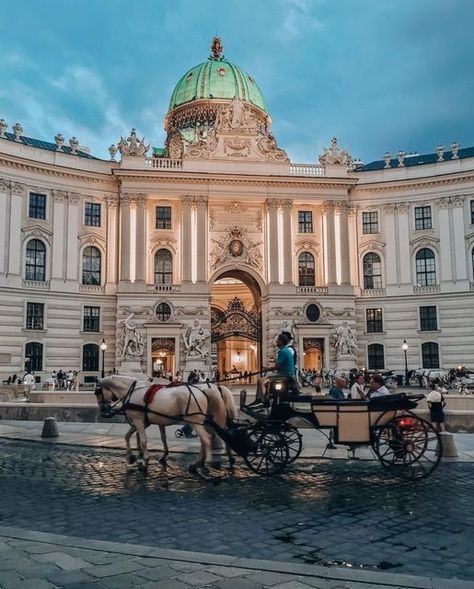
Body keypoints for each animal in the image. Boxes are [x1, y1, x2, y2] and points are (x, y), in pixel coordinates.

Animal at [95, 376, 236, 474]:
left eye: (97, 392)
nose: (103, 410)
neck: (132, 391)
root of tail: (205, 390)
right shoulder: (147, 422)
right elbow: (130, 436)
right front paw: (132, 457)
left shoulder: (139, 420)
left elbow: (143, 440)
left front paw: (144, 462)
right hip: (204, 421)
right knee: (209, 438)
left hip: (194, 420)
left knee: (206, 439)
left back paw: (202, 462)